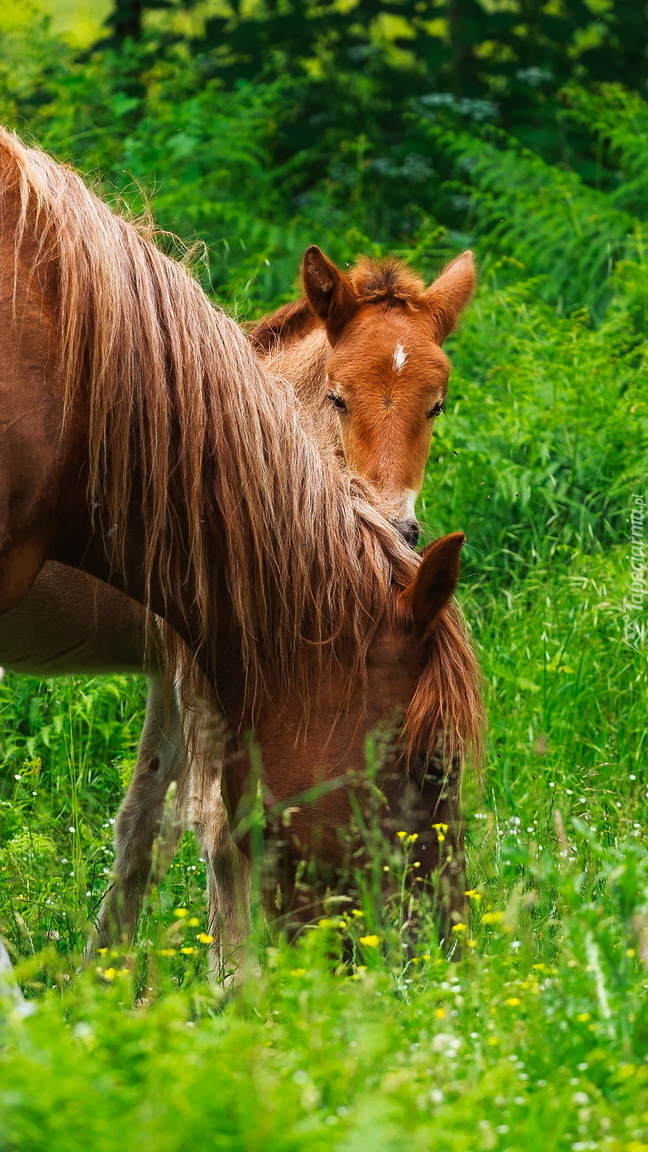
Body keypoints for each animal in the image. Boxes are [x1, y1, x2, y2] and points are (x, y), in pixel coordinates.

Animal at [0, 126, 479, 972]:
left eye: (438, 404)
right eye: (339, 395)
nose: (398, 527)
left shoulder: (192, 663)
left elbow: (144, 825)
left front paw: (106, 974)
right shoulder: (197, 667)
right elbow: (215, 828)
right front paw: (236, 982)